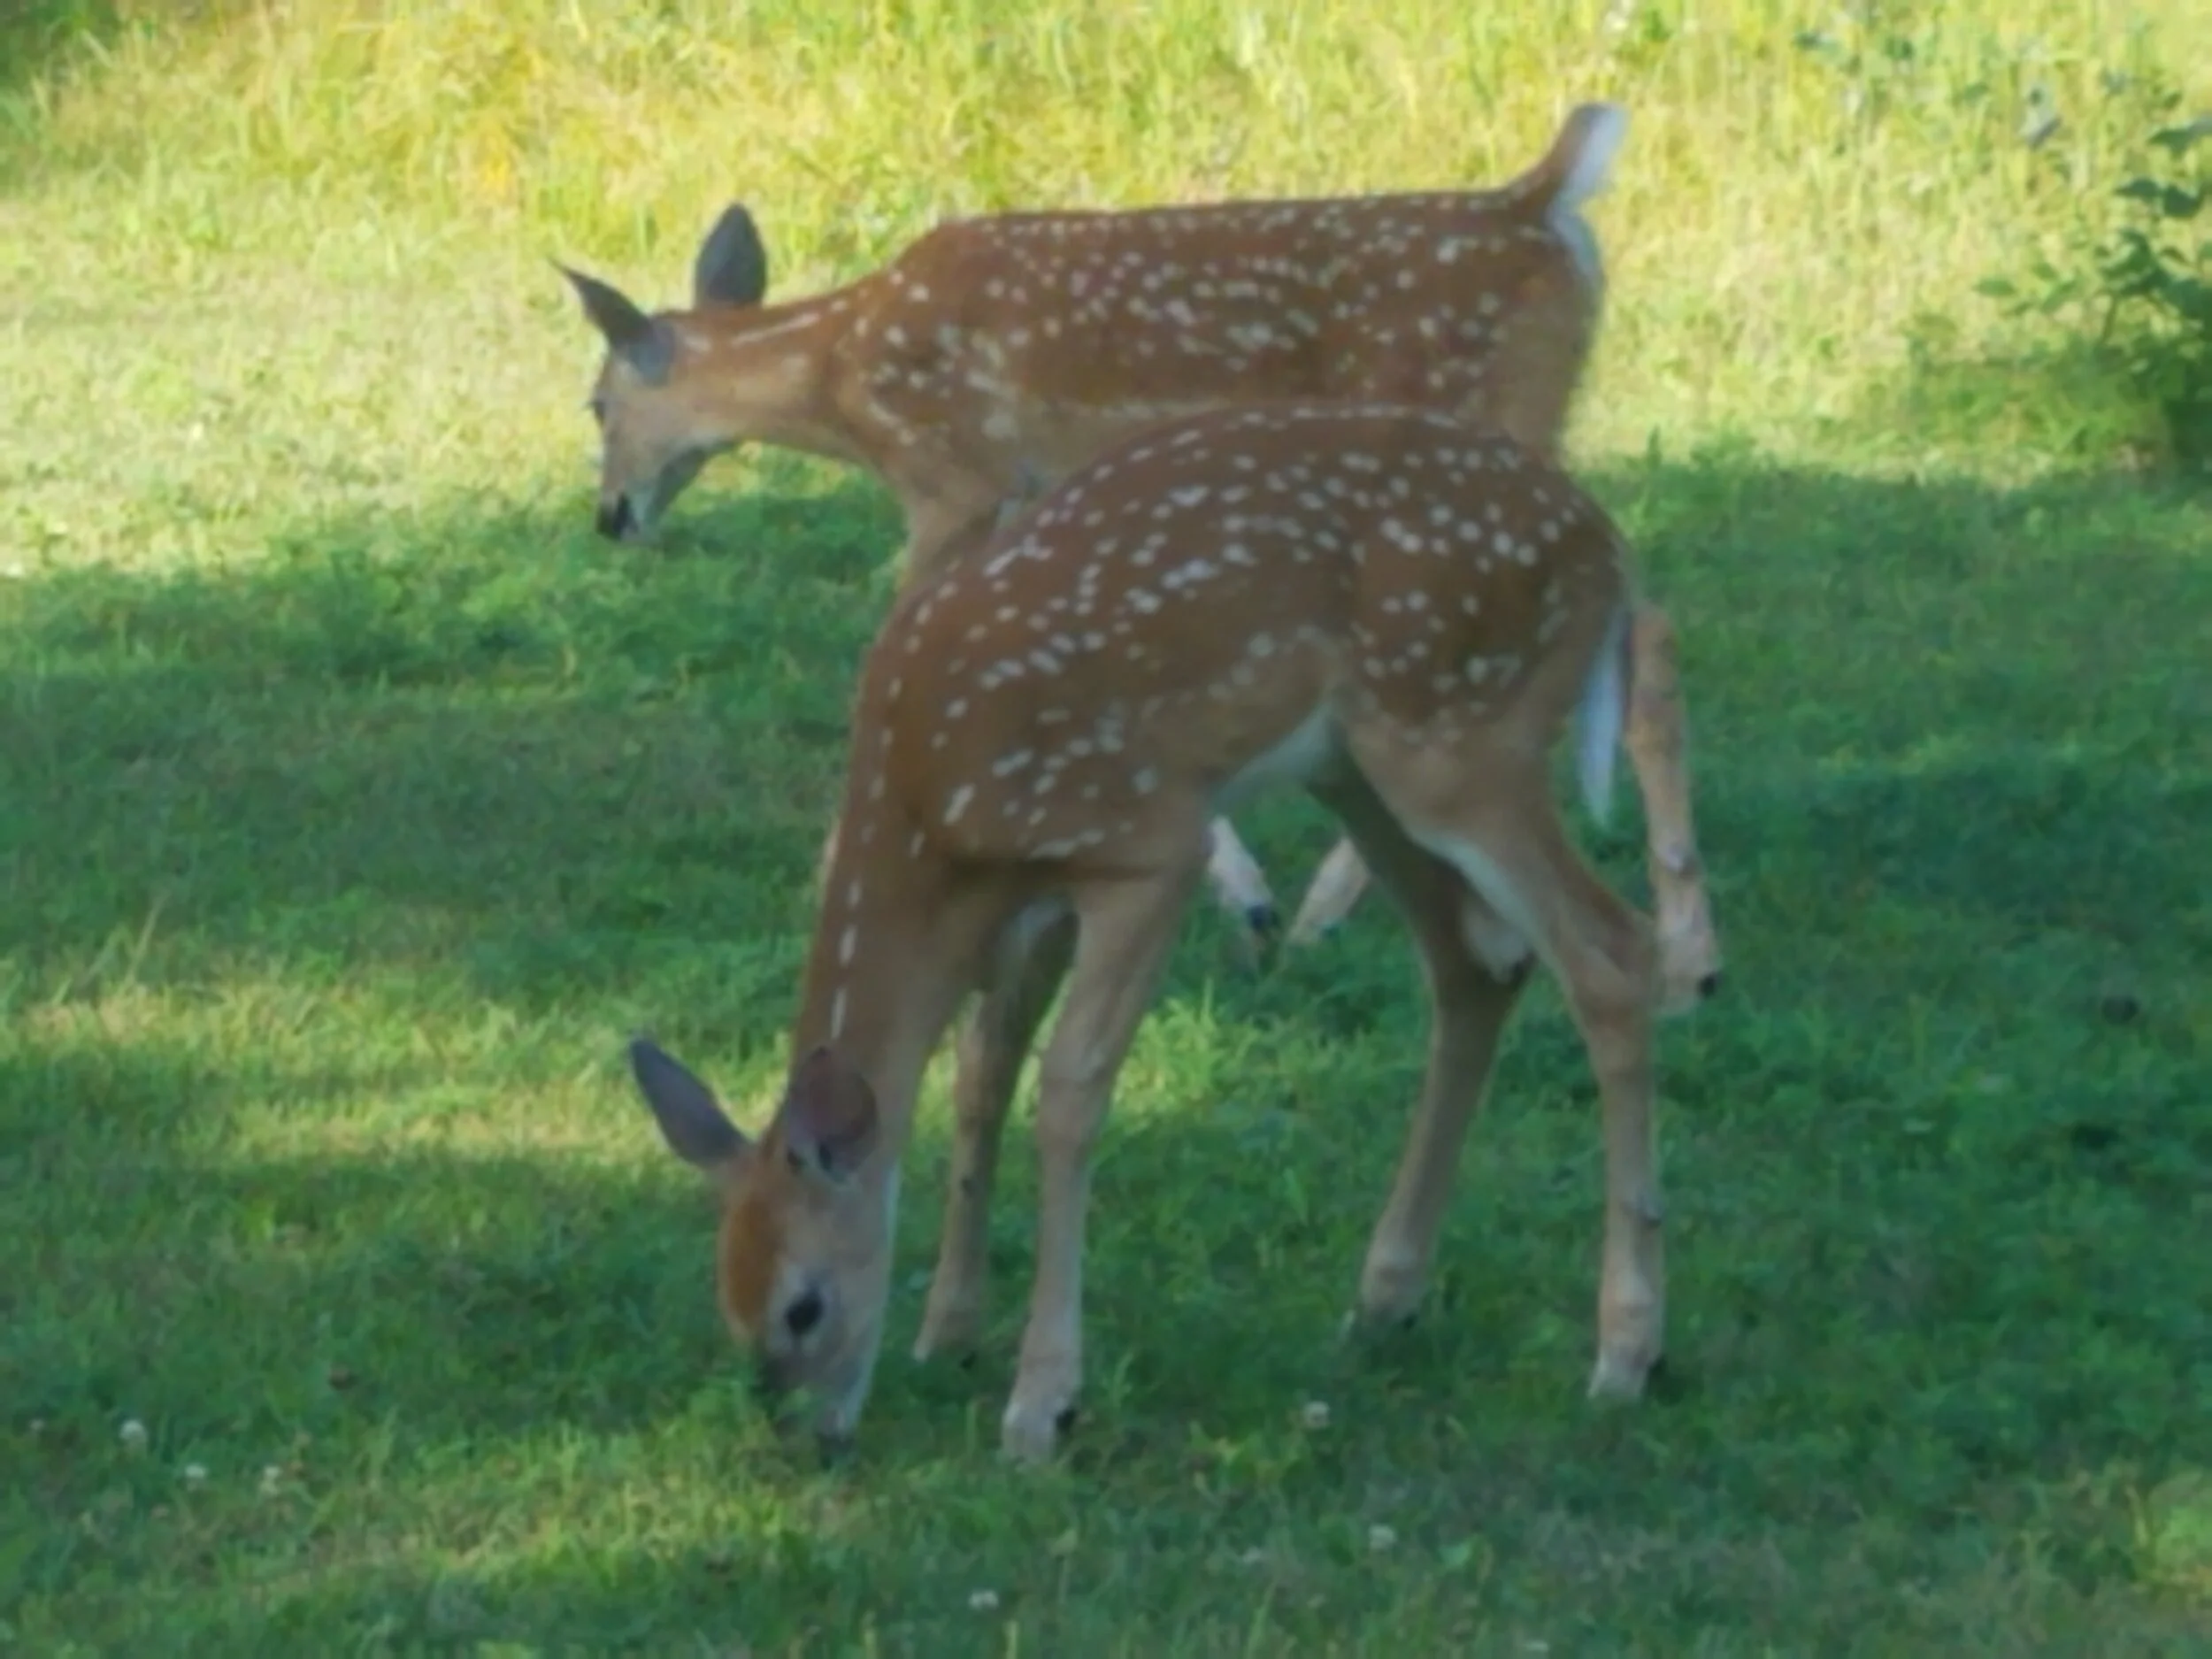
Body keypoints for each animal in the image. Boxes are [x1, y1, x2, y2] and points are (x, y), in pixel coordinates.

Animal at [555, 101, 1717, 989]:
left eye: (597, 404)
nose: (611, 518)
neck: (844, 371)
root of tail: (1543, 201)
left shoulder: (956, 476)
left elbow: (894, 644)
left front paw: (831, 867)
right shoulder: (1033, 499)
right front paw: (1238, 894)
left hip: (1474, 423)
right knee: (1649, 620)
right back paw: (1676, 949)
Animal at [624, 400, 1719, 1464]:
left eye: (802, 1308)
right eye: (728, 1302)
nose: (809, 1437)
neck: (933, 823)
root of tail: (1603, 541)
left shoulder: (1142, 845)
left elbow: (1067, 1093)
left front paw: (1041, 1405)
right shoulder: (1035, 897)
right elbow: (982, 1074)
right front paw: (949, 1330)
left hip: (1460, 736)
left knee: (1608, 955)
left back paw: (1626, 1352)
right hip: (1359, 768)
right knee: (1479, 961)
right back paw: (1385, 1299)